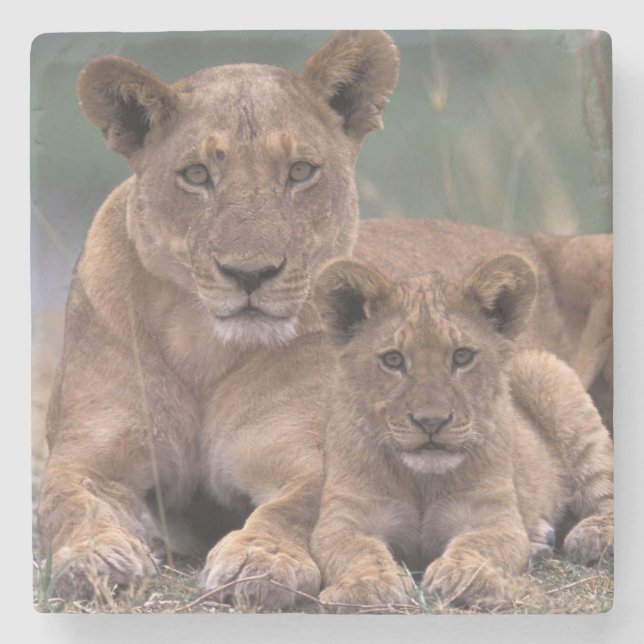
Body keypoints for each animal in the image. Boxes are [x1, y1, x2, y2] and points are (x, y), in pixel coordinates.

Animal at [310, 255, 613, 611]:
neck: (421, 482)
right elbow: (356, 551)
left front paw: (465, 577)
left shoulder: (492, 517)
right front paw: (367, 586)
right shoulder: (342, 520)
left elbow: (478, 545)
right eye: (393, 360)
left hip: (543, 371)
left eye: (462, 356)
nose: (431, 422)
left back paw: (593, 534)